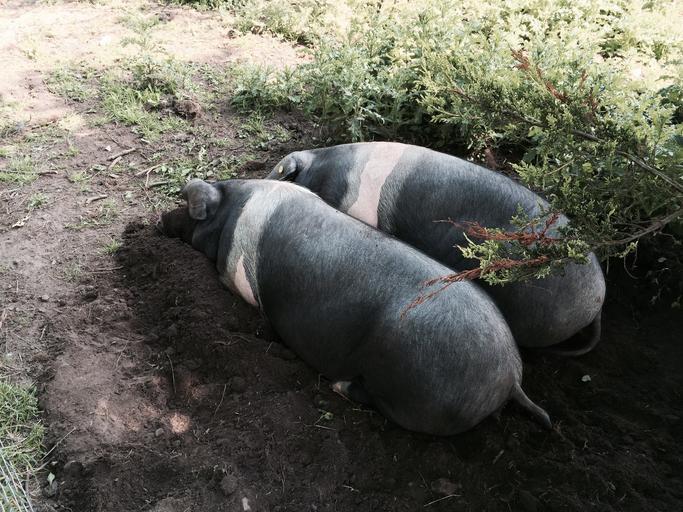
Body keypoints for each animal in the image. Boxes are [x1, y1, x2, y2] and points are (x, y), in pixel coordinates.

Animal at [157, 178, 551, 435]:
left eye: (191, 212)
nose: (161, 218)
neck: (232, 212)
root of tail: (510, 376)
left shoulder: (236, 277)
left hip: (410, 390)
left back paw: (338, 387)